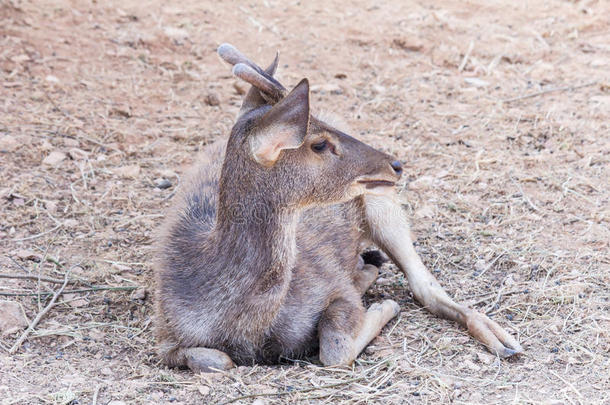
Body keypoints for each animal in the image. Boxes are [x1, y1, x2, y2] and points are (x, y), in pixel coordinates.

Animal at [153, 44, 524, 372]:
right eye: (319, 144)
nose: (395, 164)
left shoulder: (332, 285)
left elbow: (334, 347)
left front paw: (383, 306)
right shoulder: (165, 332)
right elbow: (215, 359)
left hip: (382, 203)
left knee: (423, 286)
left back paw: (504, 341)